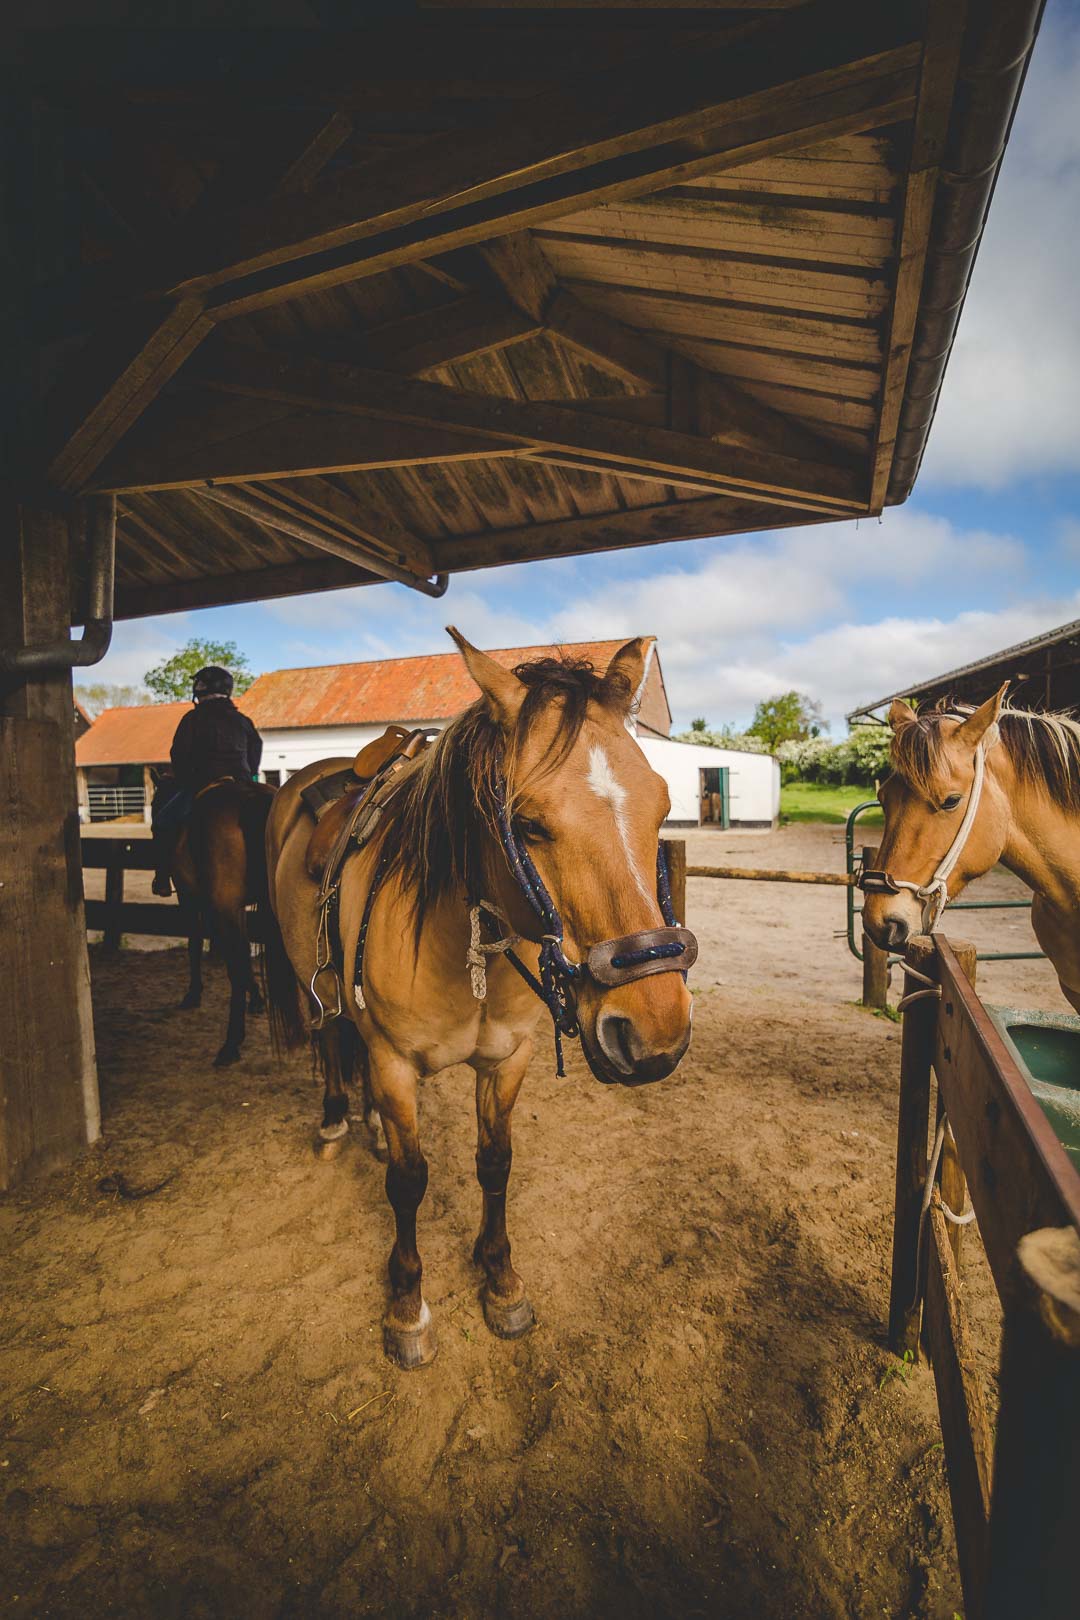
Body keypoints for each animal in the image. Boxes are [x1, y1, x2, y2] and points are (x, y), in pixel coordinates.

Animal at [170, 780, 276, 1069]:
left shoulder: (195, 901)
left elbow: (196, 944)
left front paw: (193, 993)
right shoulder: (237, 909)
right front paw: (257, 998)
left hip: (221, 907)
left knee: (235, 969)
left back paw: (231, 1044)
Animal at [265, 631, 696, 1367]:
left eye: (663, 807)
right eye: (529, 824)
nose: (654, 1033)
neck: (462, 938)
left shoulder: (506, 1059)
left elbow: (495, 1163)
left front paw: (500, 1279)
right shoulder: (394, 1064)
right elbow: (409, 1180)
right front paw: (407, 1307)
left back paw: (370, 1127)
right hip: (310, 981)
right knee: (331, 1038)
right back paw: (335, 1122)